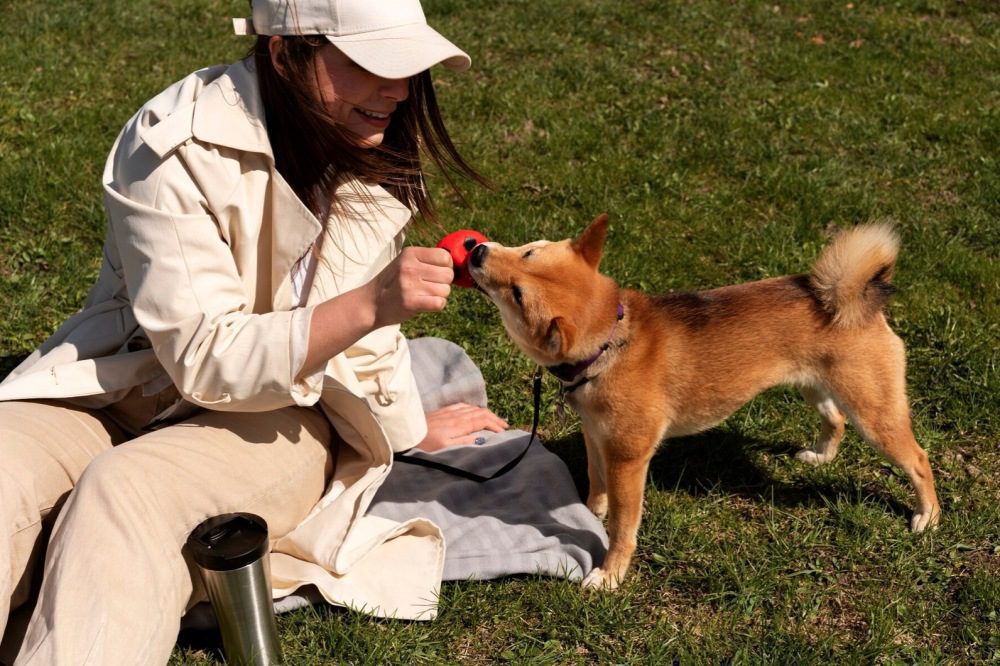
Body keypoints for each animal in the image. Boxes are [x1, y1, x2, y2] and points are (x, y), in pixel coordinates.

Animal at [466, 215, 936, 588]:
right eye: (528, 250)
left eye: (518, 291)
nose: (476, 250)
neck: (610, 345)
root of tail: (855, 297)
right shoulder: (598, 439)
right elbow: (595, 486)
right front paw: (589, 512)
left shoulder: (628, 460)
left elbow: (622, 527)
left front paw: (610, 574)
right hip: (815, 385)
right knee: (834, 419)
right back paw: (821, 456)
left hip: (874, 414)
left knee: (918, 459)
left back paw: (927, 516)